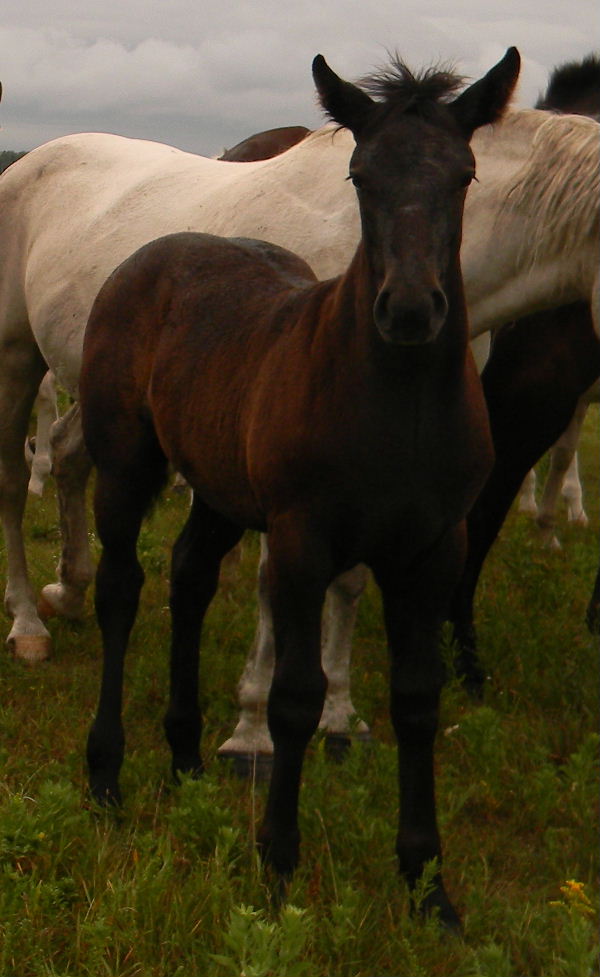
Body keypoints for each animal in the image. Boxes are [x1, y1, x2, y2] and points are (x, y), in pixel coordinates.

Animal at [0, 55, 598, 673]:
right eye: (359, 179)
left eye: (465, 178)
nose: (410, 310)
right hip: (19, 358)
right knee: (14, 481)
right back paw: (27, 623)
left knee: (69, 454)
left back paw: (68, 592)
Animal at [79, 49, 519, 928]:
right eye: (359, 175)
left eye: (463, 175)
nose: (410, 310)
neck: (397, 407)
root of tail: (150, 254)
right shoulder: (301, 540)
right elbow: (295, 695)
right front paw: (278, 866)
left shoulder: (434, 549)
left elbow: (416, 700)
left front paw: (428, 884)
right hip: (125, 463)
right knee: (120, 587)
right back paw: (107, 772)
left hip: (219, 486)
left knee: (189, 575)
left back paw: (184, 754)